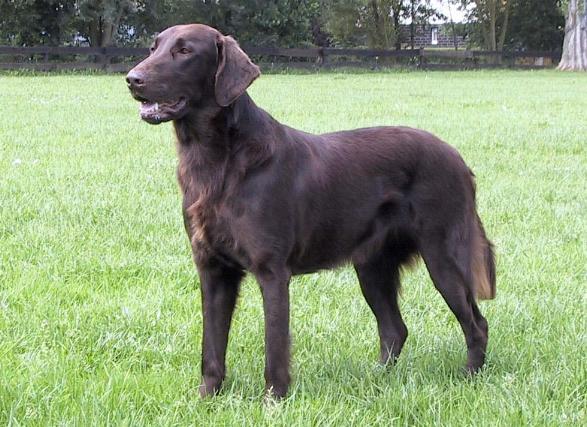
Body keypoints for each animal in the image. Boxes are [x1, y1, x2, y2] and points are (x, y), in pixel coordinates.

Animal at [127, 22, 496, 398]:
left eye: (185, 51)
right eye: (154, 47)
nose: (132, 79)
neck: (218, 161)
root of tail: (458, 159)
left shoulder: (272, 270)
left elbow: (275, 346)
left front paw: (274, 399)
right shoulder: (212, 268)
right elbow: (211, 346)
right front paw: (206, 398)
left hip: (442, 256)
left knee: (476, 323)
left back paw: (469, 377)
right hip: (372, 265)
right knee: (395, 328)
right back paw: (376, 379)